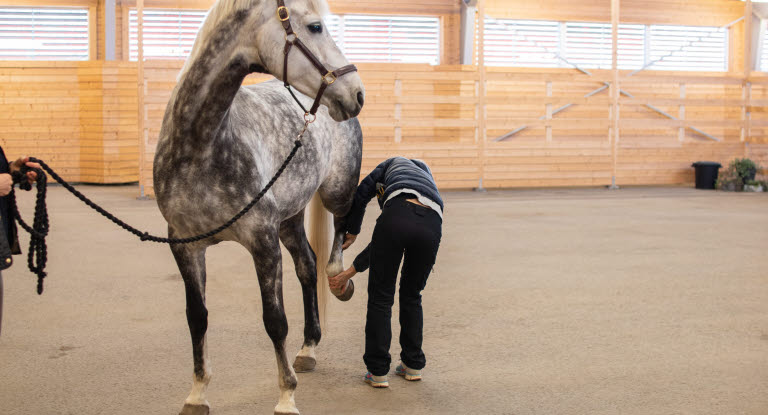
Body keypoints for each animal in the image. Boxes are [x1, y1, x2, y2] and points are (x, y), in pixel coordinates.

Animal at [154, 0, 366, 412]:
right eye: (315, 27)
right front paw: (198, 392)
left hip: (335, 190)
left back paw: (338, 281)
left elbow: (274, 320)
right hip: (290, 217)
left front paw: (286, 397)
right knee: (306, 266)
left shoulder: (262, 241)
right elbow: (197, 318)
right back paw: (308, 348)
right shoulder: (185, 246)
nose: (357, 93)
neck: (201, 147)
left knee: (341, 230)